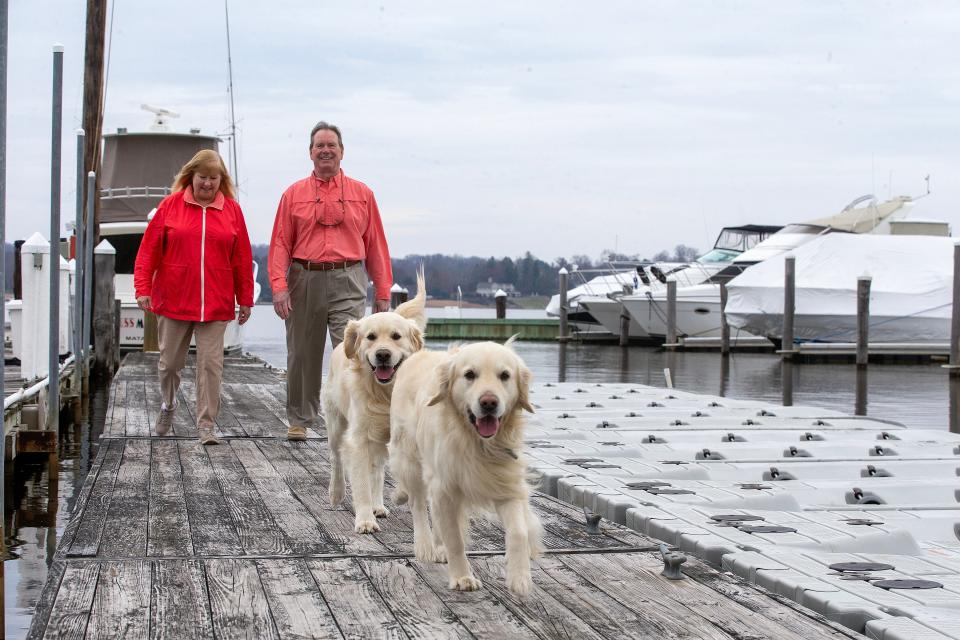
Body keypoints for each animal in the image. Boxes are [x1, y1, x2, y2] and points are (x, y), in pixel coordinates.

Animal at [324, 272, 426, 536]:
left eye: (396, 336)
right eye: (370, 337)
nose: (382, 354)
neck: (385, 393)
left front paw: (399, 496)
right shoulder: (359, 439)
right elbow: (360, 484)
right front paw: (365, 520)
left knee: (377, 470)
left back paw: (378, 505)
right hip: (336, 424)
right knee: (336, 458)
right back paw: (336, 493)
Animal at [388, 342, 540, 596]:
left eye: (505, 375)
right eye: (470, 375)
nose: (489, 402)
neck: (477, 443)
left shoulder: (506, 483)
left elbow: (519, 532)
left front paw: (520, 577)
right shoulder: (445, 488)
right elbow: (455, 539)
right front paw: (462, 577)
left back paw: (438, 547)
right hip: (409, 458)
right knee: (417, 504)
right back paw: (425, 546)